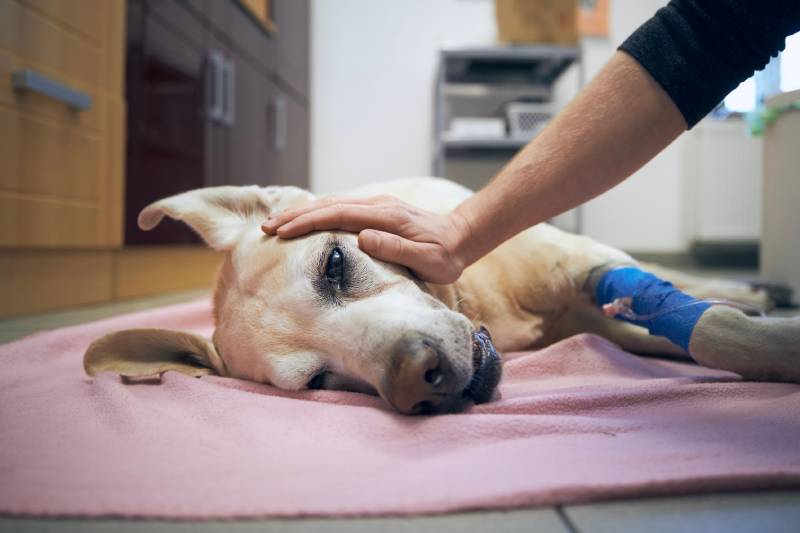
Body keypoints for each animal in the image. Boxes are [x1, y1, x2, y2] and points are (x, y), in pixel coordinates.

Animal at [84, 177, 796, 414]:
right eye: (319, 381)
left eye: (335, 264)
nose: (416, 378)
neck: (481, 305)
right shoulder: (602, 317)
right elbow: (695, 332)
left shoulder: (586, 266)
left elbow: (713, 330)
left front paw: (772, 336)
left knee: (675, 279)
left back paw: (752, 286)